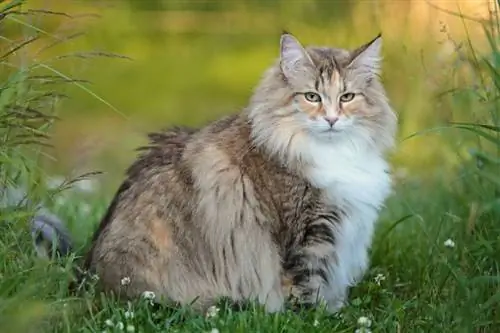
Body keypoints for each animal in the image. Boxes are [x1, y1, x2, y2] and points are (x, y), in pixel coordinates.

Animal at [33, 30, 396, 312]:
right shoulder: (307, 236)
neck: (334, 153)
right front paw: (321, 317)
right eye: (311, 96)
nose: (332, 119)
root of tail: (86, 282)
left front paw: (337, 309)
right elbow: (307, 288)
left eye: (346, 97)